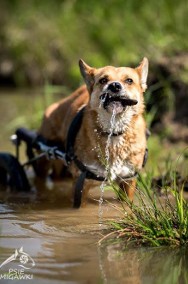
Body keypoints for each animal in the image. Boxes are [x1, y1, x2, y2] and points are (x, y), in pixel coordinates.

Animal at [37, 58, 149, 204]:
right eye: (103, 80)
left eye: (129, 80)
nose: (114, 86)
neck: (113, 133)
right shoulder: (82, 183)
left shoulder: (128, 181)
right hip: (45, 156)